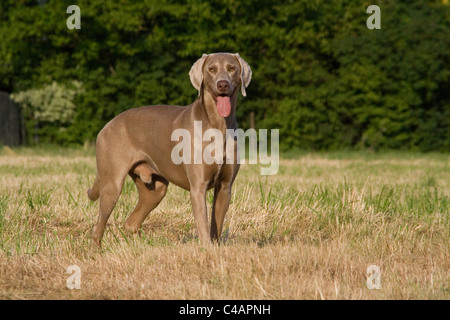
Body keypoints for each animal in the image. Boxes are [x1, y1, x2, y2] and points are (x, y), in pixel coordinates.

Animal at [86, 53, 251, 248]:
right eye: (211, 69)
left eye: (232, 68)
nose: (222, 84)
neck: (217, 125)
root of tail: (107, 125)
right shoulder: (198, 188)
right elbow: (203, 224)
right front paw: (206, 249)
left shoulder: (225, 188)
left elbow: (216, 226)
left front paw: (215, 249)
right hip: (112, 183)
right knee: (99, 226)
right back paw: (97, 249)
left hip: (155, 189)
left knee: (131, 223)